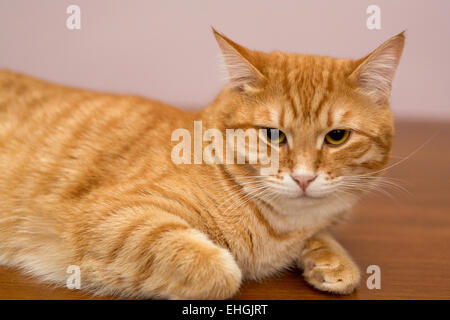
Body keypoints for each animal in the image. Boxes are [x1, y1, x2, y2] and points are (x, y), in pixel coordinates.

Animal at [0, 30, 404, 300]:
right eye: (273, 134)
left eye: (337, 137)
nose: (303, 177)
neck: (280, 231)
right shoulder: (114, 219)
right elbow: (222, 272)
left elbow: (326, 240)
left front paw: (330, 261)